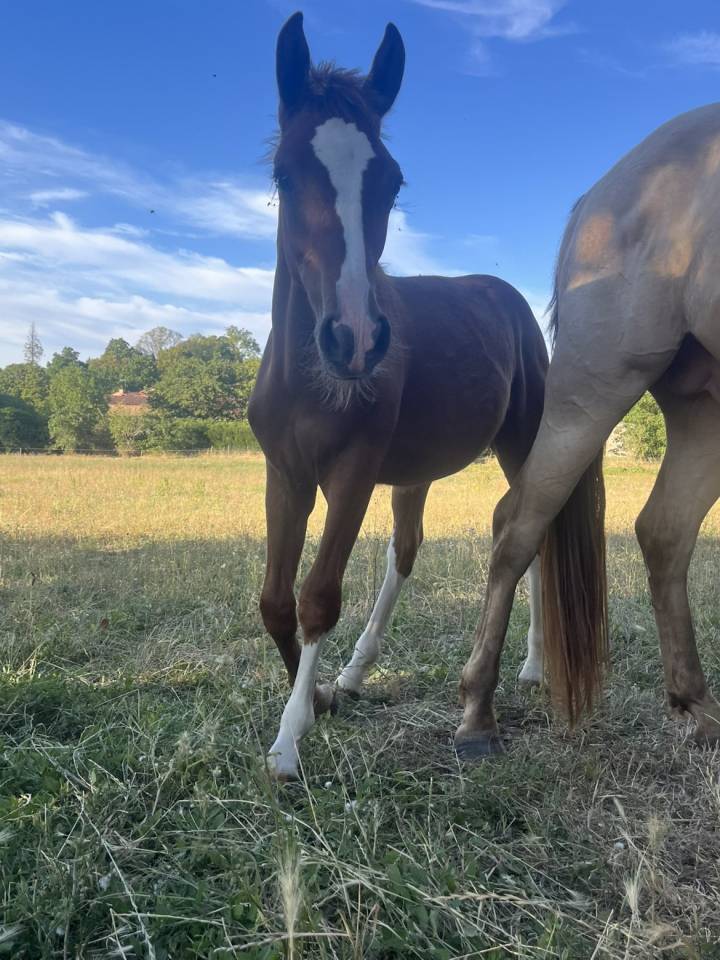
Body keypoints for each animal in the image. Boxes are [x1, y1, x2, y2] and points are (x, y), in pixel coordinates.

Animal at [249, 12, 560, 779]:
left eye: (389, 182)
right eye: (285, 172)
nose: (355, 338)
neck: (308, 380)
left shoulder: (353, 472)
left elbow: (317, 597)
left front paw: (291, 738)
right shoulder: (287, 474)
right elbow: (275, 601)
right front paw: (321, 696)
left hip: (518, 444)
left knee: (531, 538)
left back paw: (533, 666)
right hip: (414, 473)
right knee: (407, 549)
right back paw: (357, 673)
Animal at [456, 104, 720, 759]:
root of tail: (601, 191)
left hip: (703, 406)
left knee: (665, 531)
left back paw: (700, 707)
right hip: (592, 388)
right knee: (517, 524)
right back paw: (477, 714)